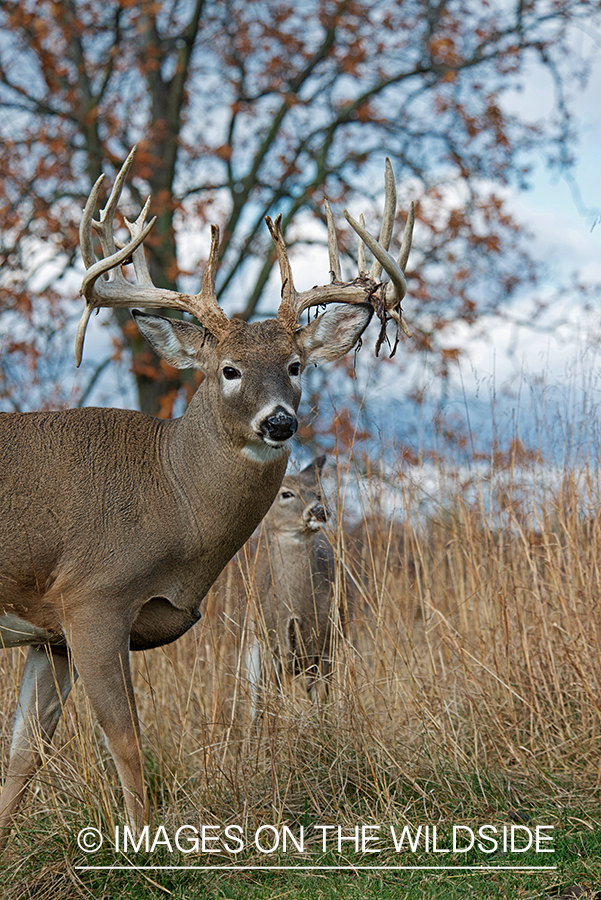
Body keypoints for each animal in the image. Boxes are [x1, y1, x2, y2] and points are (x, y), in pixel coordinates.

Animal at [0, 144, 412, 848]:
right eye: (229, 369)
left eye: (295, 366)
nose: (280, 421)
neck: (173, 499)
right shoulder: (92, 598)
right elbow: (128, 743)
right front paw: (144, 851)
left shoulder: (47, 631)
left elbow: (24, 756)